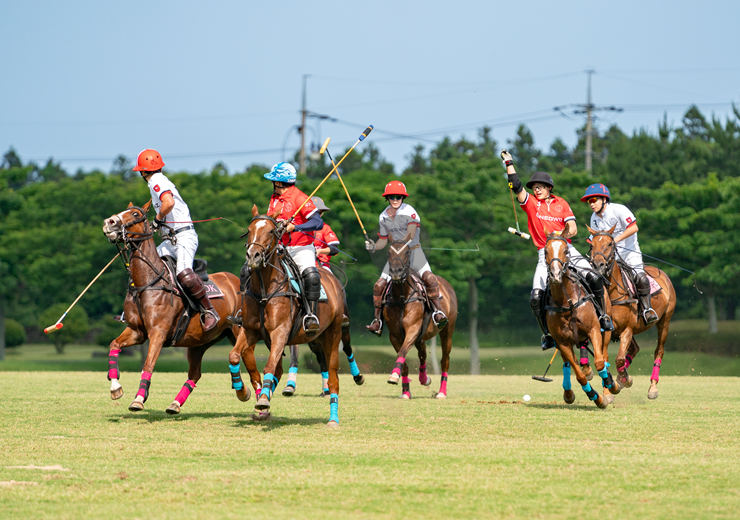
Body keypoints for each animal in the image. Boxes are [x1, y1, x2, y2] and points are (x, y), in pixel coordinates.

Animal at [102, 203, 249, 414]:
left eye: (136, 214)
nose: (109, 222)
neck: (146, 282)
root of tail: (237, 280)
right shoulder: (137, 331)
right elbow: (114, 345)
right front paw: (116, 388)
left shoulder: (158, 332)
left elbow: (148, 364)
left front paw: (138, 399)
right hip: (199, 342)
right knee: (195, 373)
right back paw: (175, 404)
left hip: (238, 332)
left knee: (249, 362)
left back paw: (252, 395)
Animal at [227, 205, 346, 424]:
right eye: (249, 230)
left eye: (271, 231)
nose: (253, 256)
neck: (265, 289)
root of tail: (332, 278)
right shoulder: (250, 331)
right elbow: (233, 356)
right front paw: (243, 392)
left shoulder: (280, 332)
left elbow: (269, 366)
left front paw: (261, 400)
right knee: (280, 370)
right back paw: (264, 403)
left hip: (332, 334)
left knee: (333, 374)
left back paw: (333, 419)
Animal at [382, 228, 456, 398]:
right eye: (388, 252)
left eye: (407, 252)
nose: (396, 272)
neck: (402, 297)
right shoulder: (394, 335)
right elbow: (403, 358)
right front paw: (405, 391)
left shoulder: (413, 329)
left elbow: (403, 351)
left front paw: (394, 375)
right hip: (421, 336)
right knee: (423, 354)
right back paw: (424, 378)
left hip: (447, 331)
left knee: (445, 360)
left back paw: (441, 392)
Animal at [540, 234, 616, 408]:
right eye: (545, 250)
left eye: (566, 250)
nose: (555, 274)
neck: (567, 301)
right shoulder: (561, 342)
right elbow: (579, 375)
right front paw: (596, 397)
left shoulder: (594, 329)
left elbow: (600, 362)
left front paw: (609, 384)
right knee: (569, 364)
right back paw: (570, 392)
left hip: (605, 330)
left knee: (604, 356)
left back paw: (610, 387)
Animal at [588, 225, 680, 400]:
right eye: (591, 245)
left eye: (610, 244)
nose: (598, 265)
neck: (612, 293)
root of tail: (662, 273)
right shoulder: (607, 330)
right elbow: (604, 358)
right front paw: (609, 391)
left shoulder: (627, 329)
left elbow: (618, 359)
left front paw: (624, 379)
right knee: (634, 349)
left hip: (664, 321)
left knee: (659, 351)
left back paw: (652, 387)